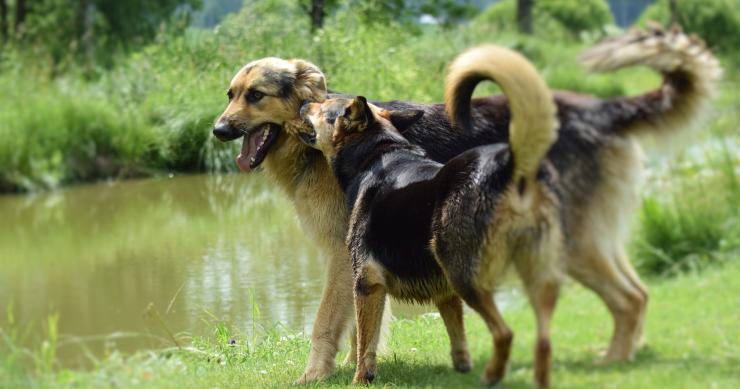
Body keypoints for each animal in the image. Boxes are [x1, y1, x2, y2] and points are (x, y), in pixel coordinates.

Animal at [294, 44, 560, 384]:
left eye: (323, 107)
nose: (303, 102)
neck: (378, 153)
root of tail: (511, 169)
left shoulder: (367, 281)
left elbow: (365, 345)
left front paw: (360, 380)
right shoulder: (444, 293)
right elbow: (458, 338)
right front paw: (461, 370)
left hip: (464, 273)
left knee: (505, 333)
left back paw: (492, 376)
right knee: (543, 337)